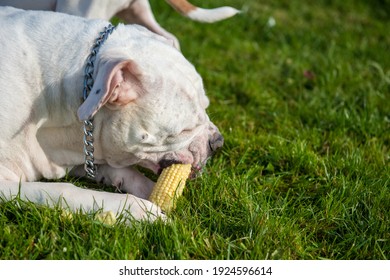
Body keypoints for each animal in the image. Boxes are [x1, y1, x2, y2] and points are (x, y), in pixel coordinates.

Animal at [0, 7, 222, 223]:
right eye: (185, 130)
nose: (218, 143)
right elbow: (63, 190)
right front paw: (139, 210)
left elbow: (122, 171)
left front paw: (152, 192)